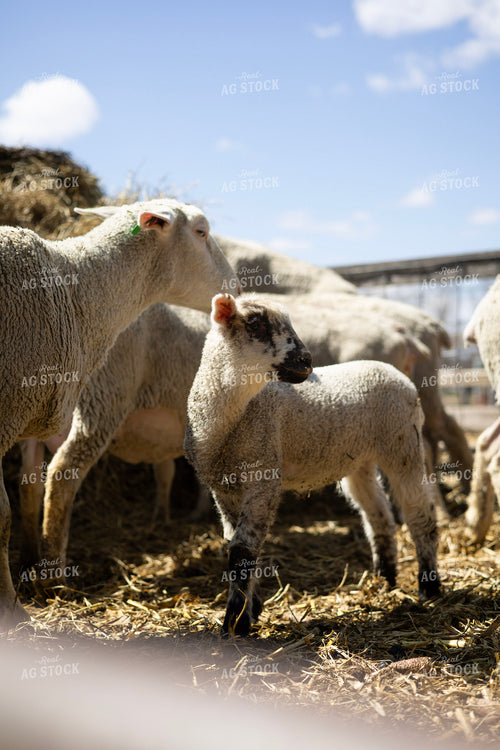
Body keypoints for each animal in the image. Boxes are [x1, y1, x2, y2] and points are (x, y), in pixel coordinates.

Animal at [0, 198, 239, 624]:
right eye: (202, 231)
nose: (238, 288)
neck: (78, 287)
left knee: (30, 484)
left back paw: (30, 563)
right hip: (104, 397)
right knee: (62, 475)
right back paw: (54, 578)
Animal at [184, 293, 441, 635]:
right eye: (255, 324)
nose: (306, 360)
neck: (228, 422)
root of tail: (395, 372)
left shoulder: (263, 478)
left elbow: (243, 549)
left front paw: (236, 623)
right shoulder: (223, 488)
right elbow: (234, 544)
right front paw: (251, 608)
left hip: (403, 443)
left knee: (419, 514)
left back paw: (430, 586)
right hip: (359, 460)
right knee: (380, 517)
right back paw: (384, 580)